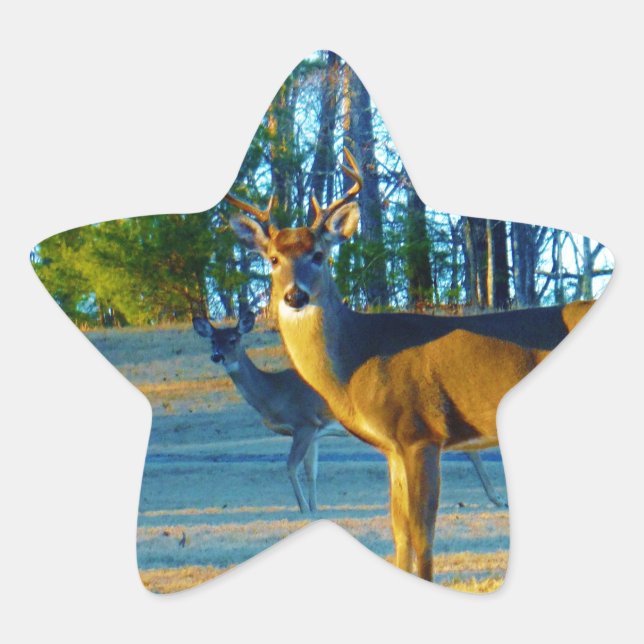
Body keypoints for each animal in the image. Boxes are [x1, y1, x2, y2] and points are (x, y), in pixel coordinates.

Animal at [226, 148, 594, 581]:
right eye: (272, 258)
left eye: (319, 254)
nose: (294, 296)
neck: (356, 361)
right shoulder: (392, 447)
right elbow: (399, 533)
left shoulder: (421, 431)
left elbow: (422, 534)